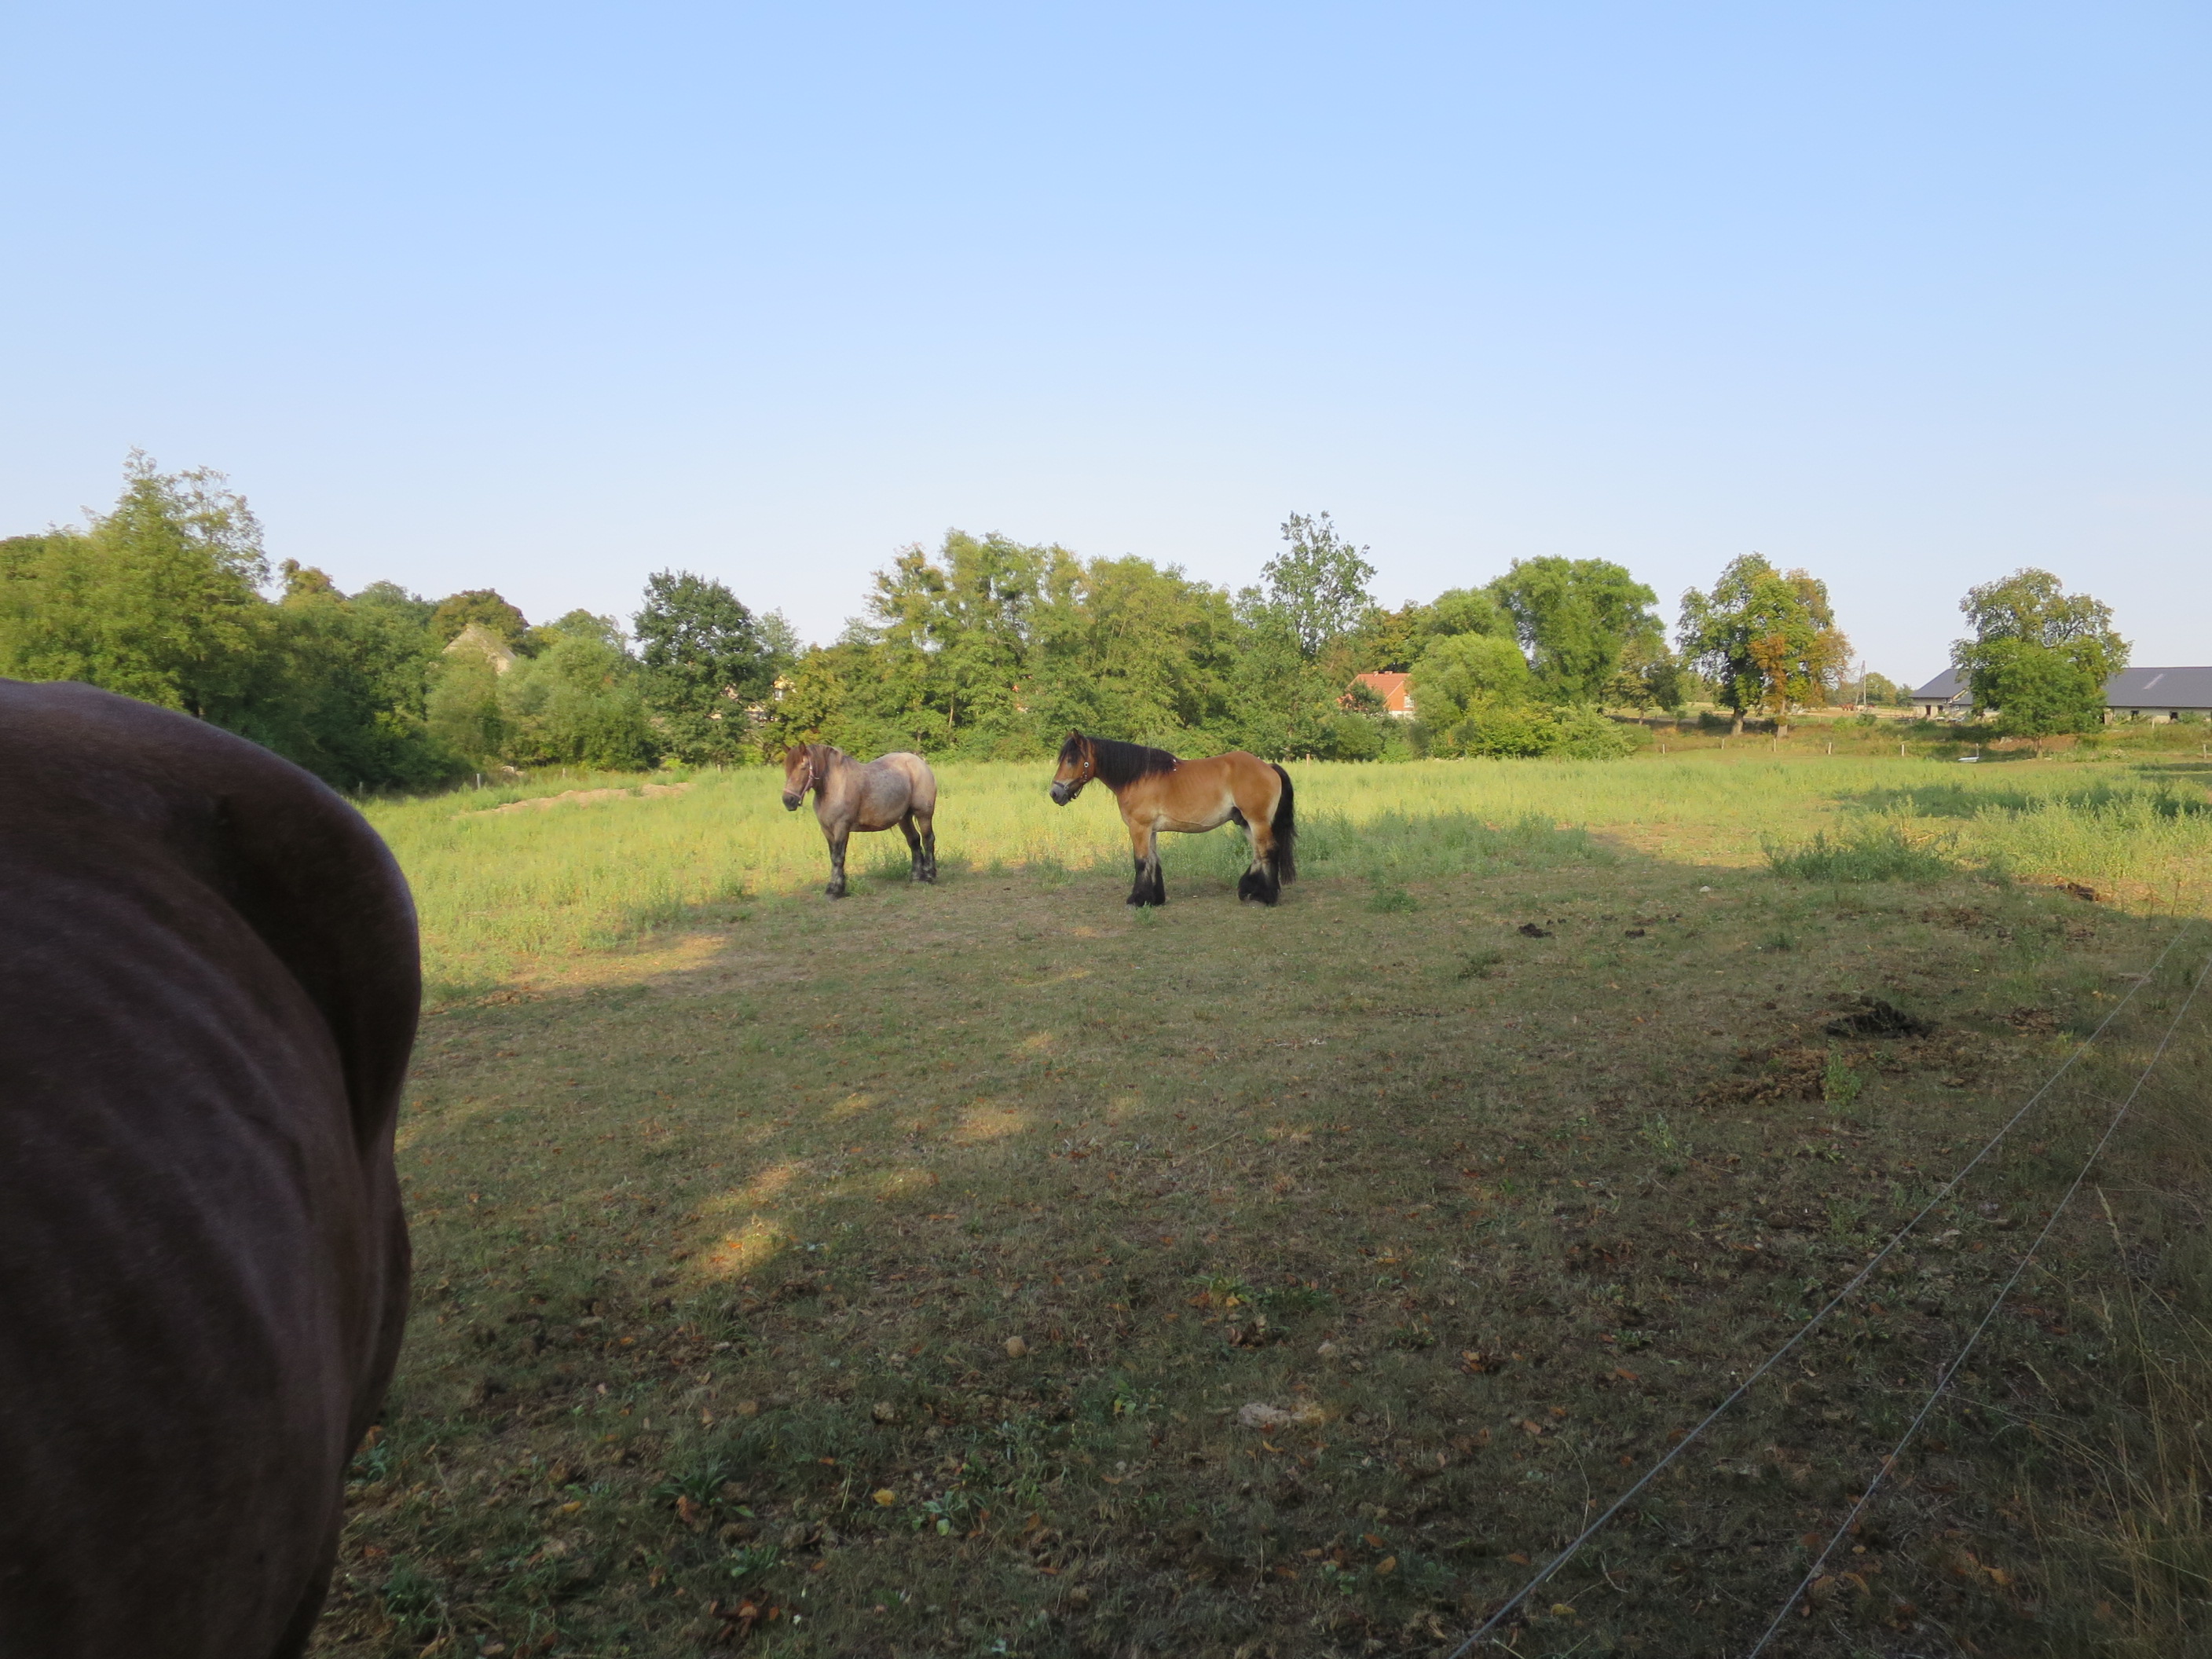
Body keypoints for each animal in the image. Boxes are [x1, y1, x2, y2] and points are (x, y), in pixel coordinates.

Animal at [781, 742, 938, 897]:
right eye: (786, 768)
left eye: (803, 767)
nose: (788, 801)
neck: (834, 786)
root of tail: (920, 763)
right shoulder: (827, 830)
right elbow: (833, 856)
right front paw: (836, 887)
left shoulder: (841, 827)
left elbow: (838, 857)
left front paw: (835, 890)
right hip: (904, 818)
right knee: (914, 841)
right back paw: (916, 877)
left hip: (923, 814)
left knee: (928, 840)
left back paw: (929, 876)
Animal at [1048, 732, 1296, 906]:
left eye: (1071, 760)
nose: (1054, 793)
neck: (1138, 777)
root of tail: (1268, 767)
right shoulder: (1150, 830)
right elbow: (1153, 861)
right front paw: (1154, 898)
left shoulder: (1139, 828)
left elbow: (1141, 862)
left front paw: (1136, 899)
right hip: (1245, 822)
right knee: (1258, 853)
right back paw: (1249, 890)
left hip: (1257, 821)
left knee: (1269, 850)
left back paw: (1267, 897)